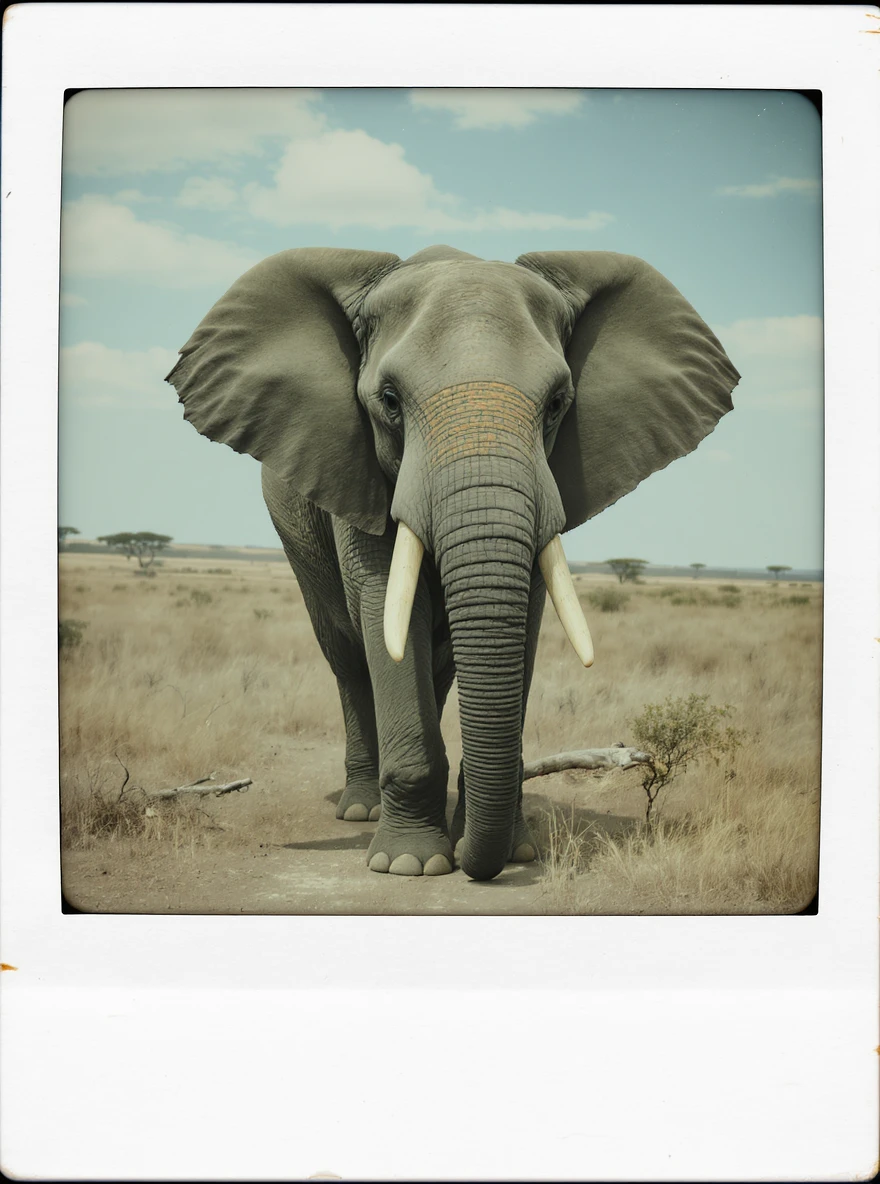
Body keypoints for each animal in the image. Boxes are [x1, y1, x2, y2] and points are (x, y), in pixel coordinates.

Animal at [166, 245, 739, 881]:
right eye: (390, 402)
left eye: (557, 405)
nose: (473, 863)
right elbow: (386, 609)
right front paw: (410, 865)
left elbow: (525, 621)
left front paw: (510, 851)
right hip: (297, 541)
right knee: (347, 658)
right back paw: (361, 809)